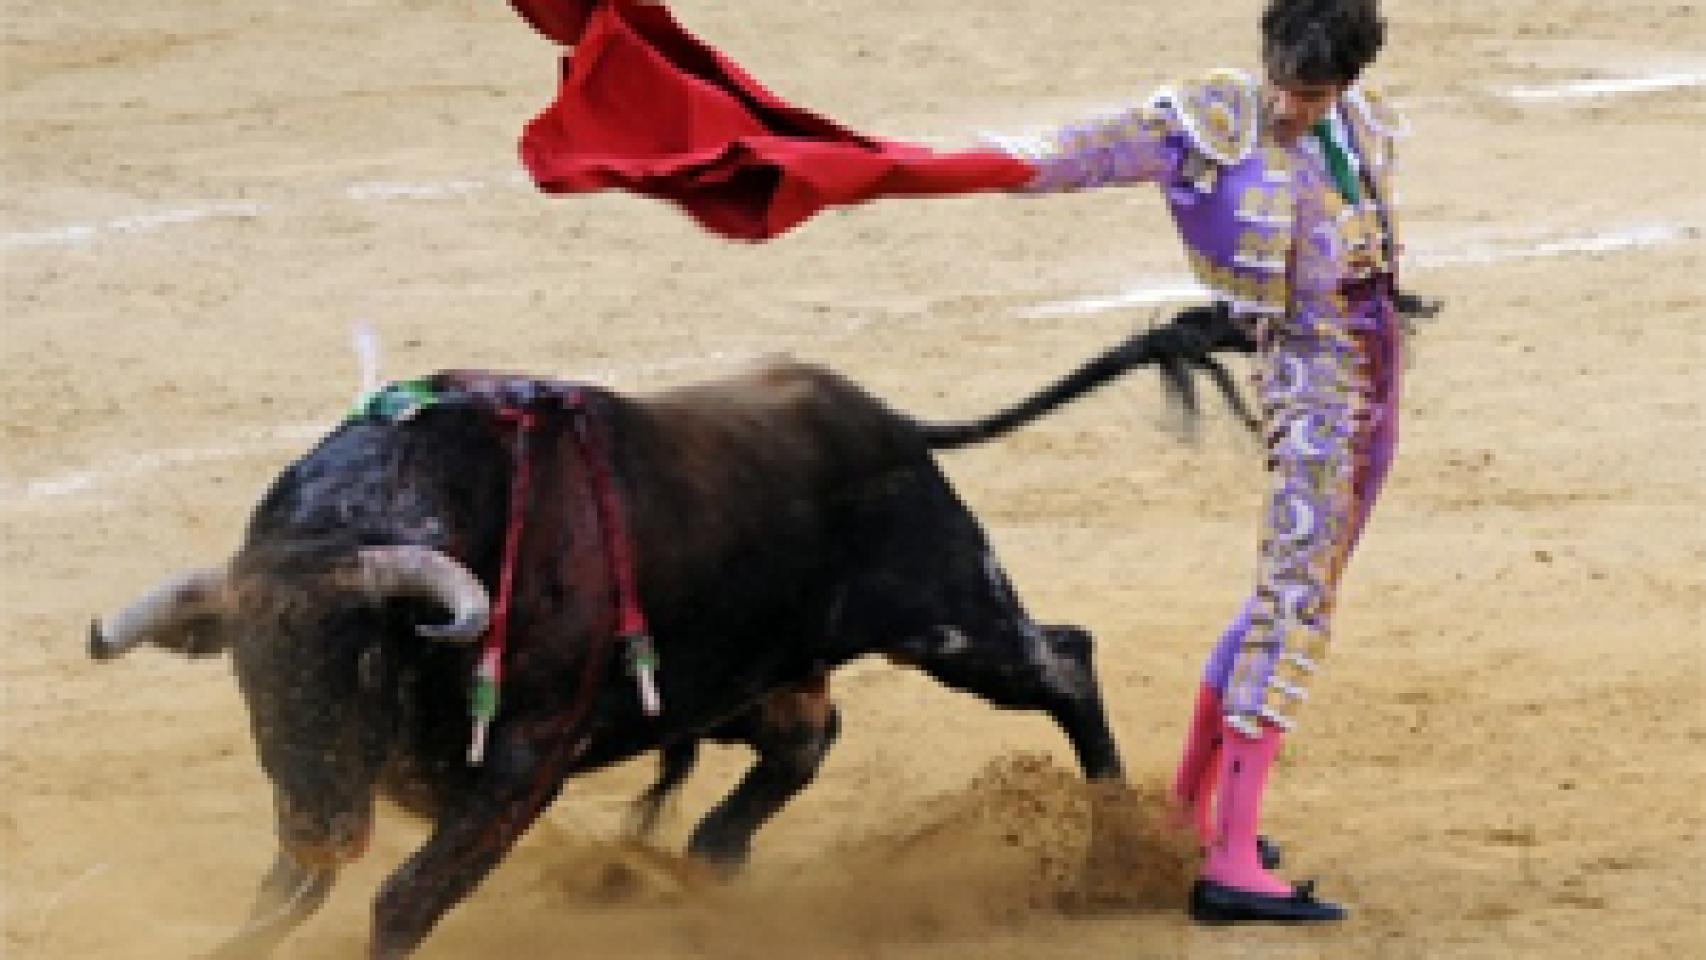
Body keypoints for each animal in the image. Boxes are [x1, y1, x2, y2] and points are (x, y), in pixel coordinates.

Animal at [86, 318, 1255, 954]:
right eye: (247, 671)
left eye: (368, 658)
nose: (321, 825)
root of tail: (888, 423)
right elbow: (276, 907)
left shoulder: (519, 762)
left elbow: (400, 902)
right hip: (749, 680)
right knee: (807, 740)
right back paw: (707, 866)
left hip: (954, 622)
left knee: (1064, 661)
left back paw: (1119, 853)